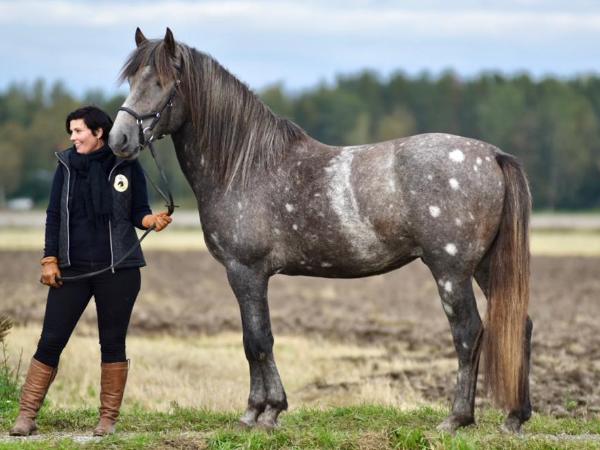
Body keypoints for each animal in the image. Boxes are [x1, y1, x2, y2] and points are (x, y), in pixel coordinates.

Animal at [109, 28, 532, 433]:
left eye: (161, 82)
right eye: (131, 78)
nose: (118, 139)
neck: (244, 166)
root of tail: (493, 155)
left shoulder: (245, 271)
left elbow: (257, 340)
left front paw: (262, 413)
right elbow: (254, 340)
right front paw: (261, 410)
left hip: (450, 270)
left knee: (468, 332)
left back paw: (457, 418)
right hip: (484, 266)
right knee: (520, 325)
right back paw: (515, 417)